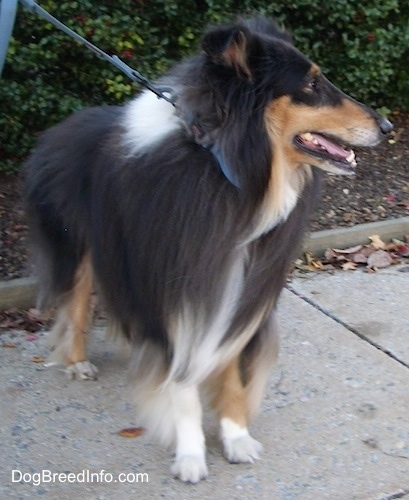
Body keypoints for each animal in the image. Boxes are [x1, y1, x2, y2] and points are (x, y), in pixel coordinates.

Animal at [23, 17, 392, 482]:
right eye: (310, 83)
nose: (388, 126)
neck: (227, 170)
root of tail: (63, 126)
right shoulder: (176, 286)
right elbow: (181, 377)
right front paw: (191, 453)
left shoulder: (244, 283)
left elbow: (233, 372)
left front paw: (235, 437)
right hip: (79, 245)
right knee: (74, 302)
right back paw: (76, 361)